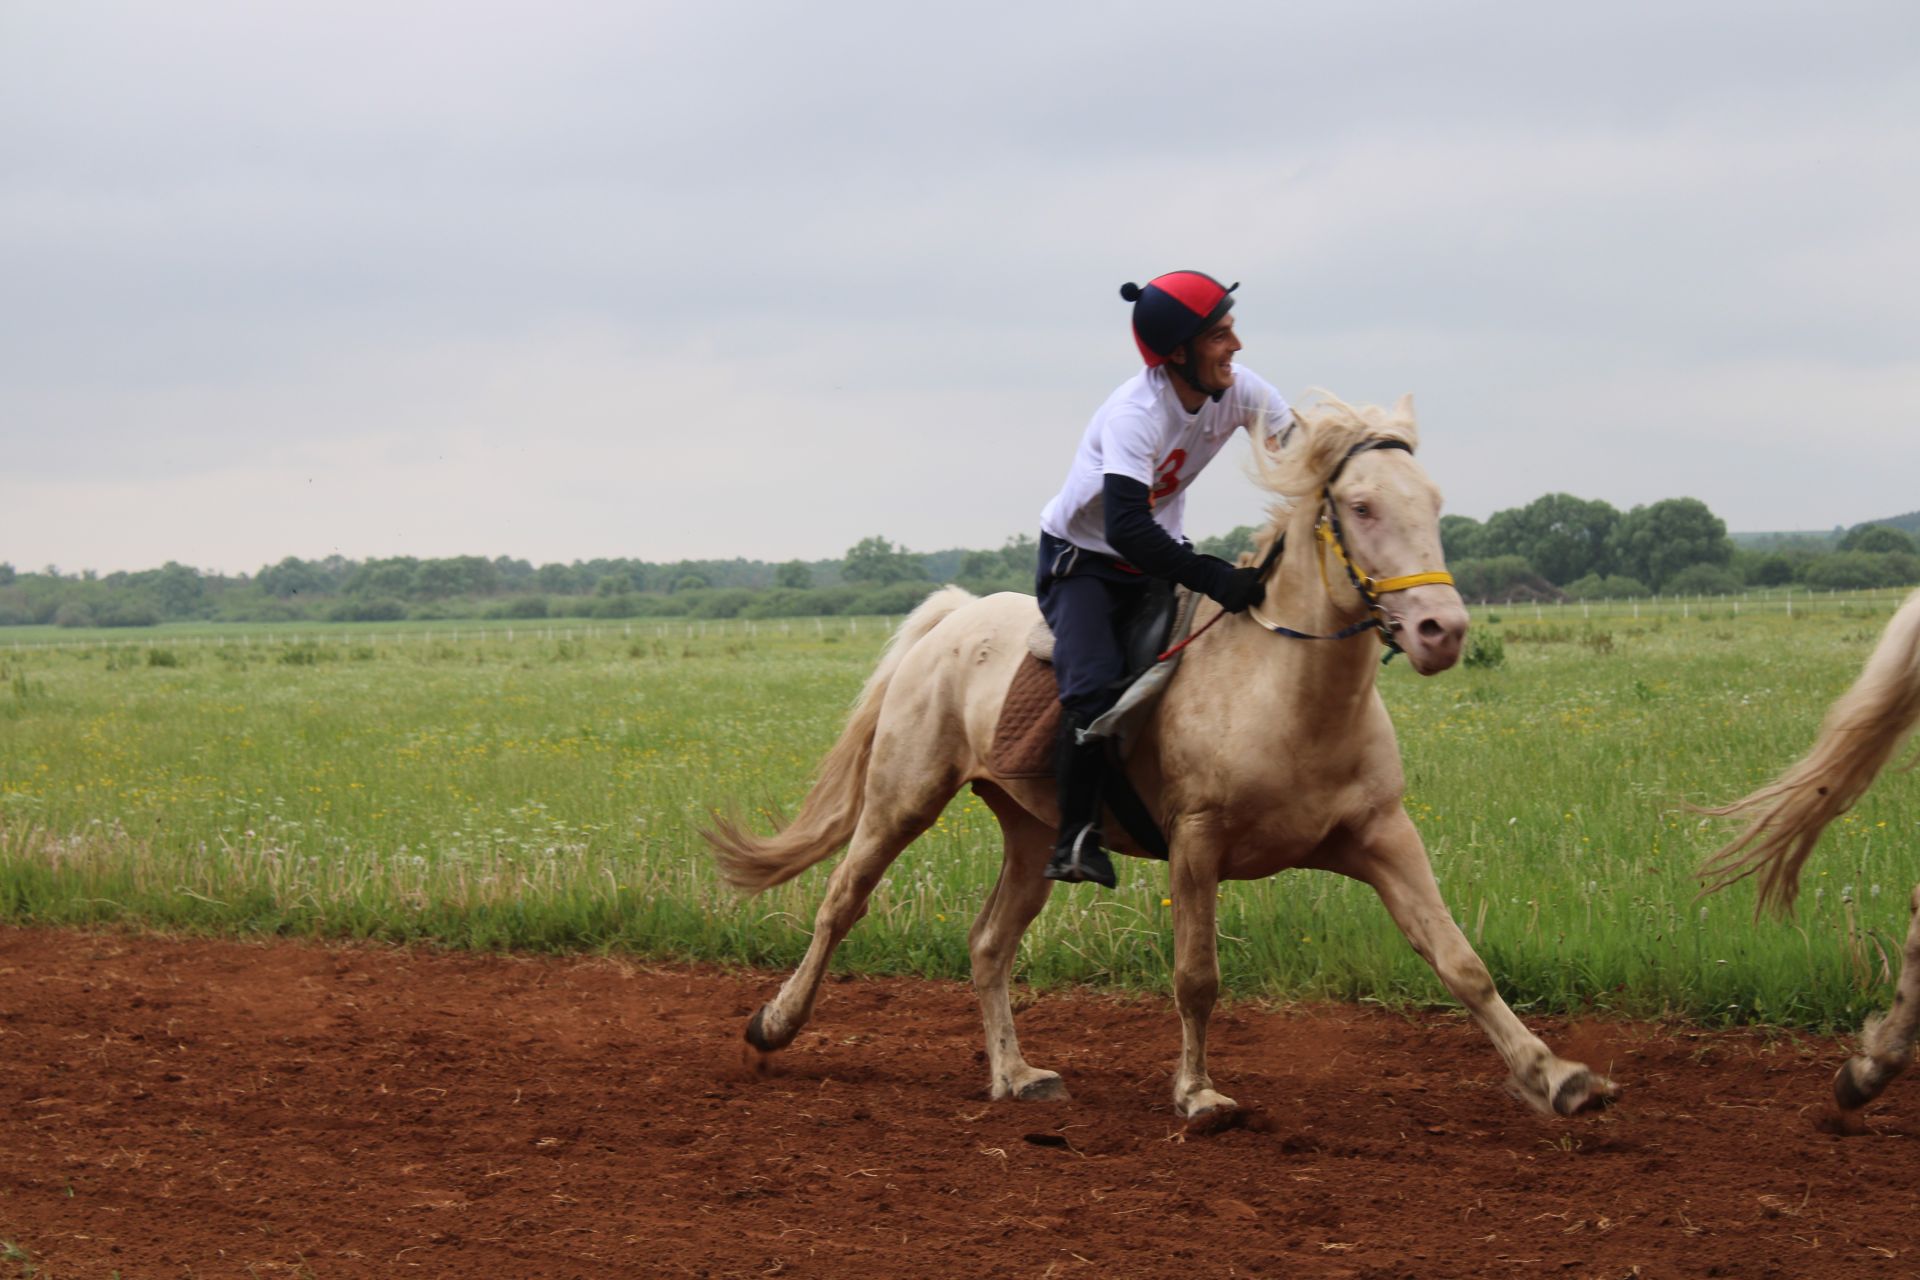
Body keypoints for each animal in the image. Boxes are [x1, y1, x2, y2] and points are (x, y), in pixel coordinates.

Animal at [714, 395, 1612, 1113]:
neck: (1291, 695)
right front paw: (1199, 1095)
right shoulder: (1197, 841)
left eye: (1432, 503)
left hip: (1034, 833)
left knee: (988, 943)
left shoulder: (1383, 836)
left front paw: (1557, 1076)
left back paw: (1015, 1075)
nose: (1441, 631)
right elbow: (1196, 976)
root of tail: (954, 617)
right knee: (841, 901)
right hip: (903, 798)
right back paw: (775, 1024)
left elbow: (1461, 961)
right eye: (1359, 506)